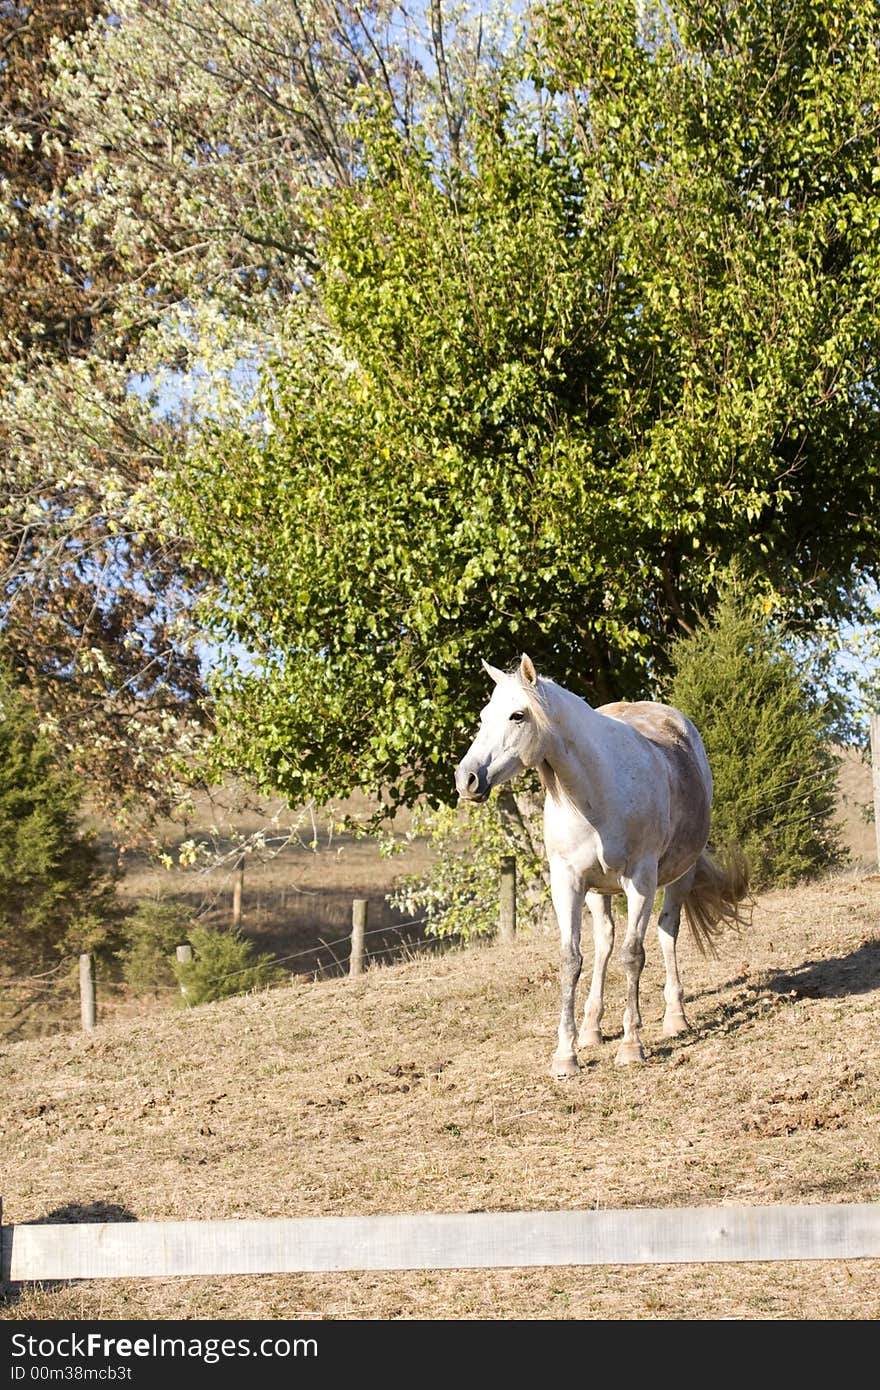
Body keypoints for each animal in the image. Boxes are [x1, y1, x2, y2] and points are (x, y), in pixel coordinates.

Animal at [453, 656, 750, 1078]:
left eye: (517, 715)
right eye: (483, 716)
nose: (467, 778)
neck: (594, 794)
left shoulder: (640, 879)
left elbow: (633, 955)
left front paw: (631, 1046)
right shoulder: (568, 882)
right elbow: (572, 959)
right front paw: (566, 1054)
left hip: (679, 875)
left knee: (666, 933)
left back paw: (675, 1017)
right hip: (598, 891)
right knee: (605, 941)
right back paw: (592, 1027)